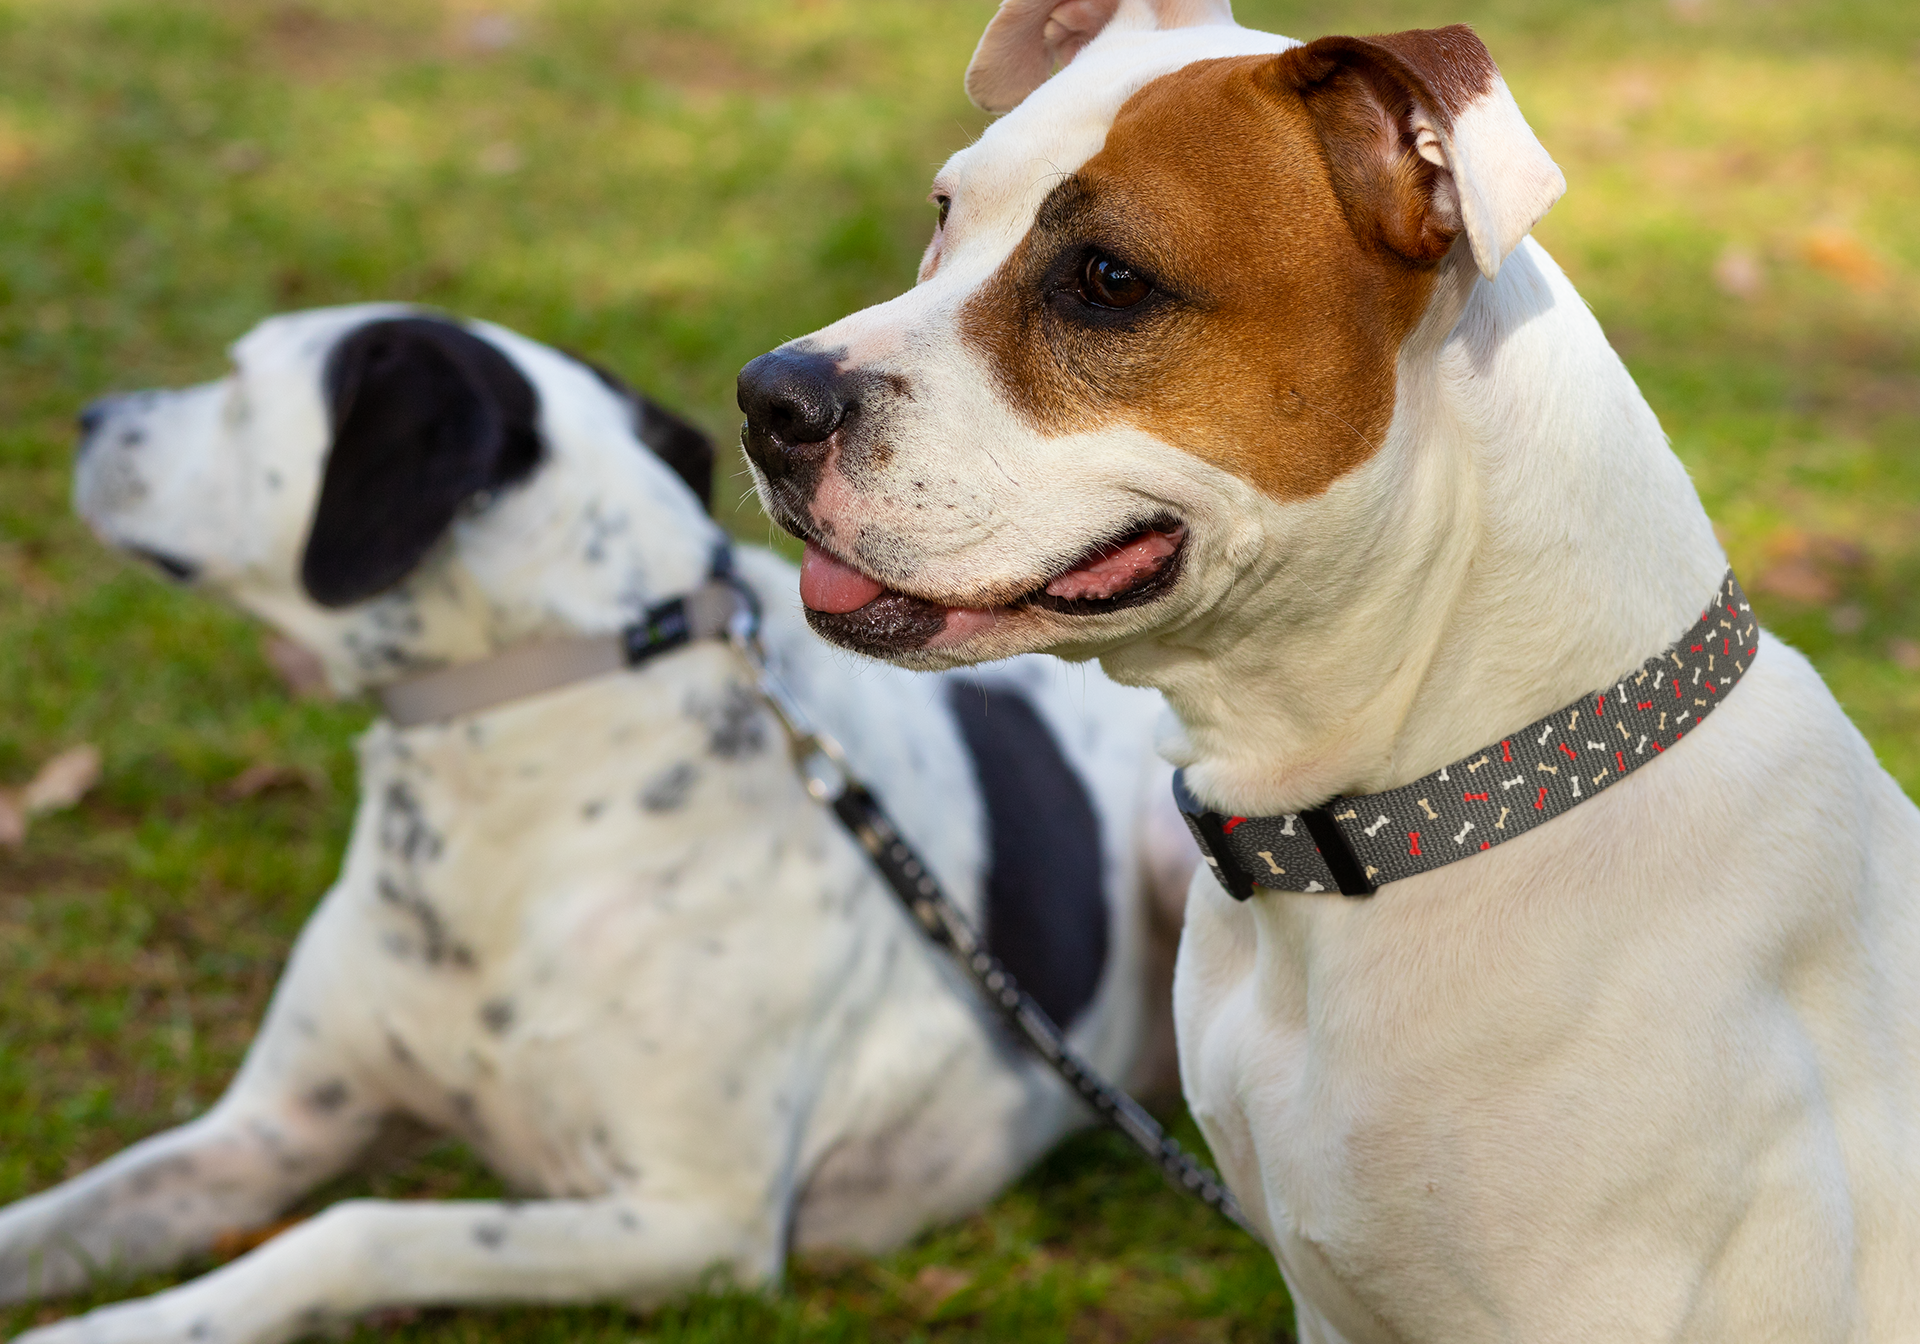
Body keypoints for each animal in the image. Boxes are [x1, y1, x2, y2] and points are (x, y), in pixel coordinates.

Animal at [0, 307, 1190, 1344]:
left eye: (241, 386)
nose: (89, 416)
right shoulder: (274, 1129)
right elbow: (58, 1217)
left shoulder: (693, 1220)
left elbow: (354, 1233)